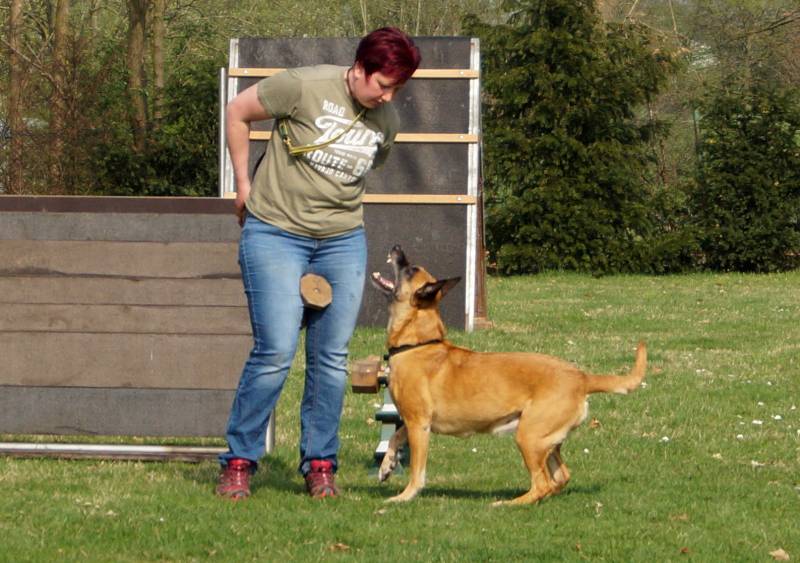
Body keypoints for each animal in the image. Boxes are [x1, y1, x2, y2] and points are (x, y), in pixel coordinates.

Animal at [370, 245, 647, 505]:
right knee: (560, 477)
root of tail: (582, 377)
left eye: (409, 270)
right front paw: (386, 466)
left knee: (542, 484)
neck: (418, 343)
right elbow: (394, 437)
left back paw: (508, 504)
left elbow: (417, 471)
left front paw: (404, 496)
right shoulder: (412, 422)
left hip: (528, 437)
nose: (396, 248)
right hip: (546, 441)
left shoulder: (419, 424)